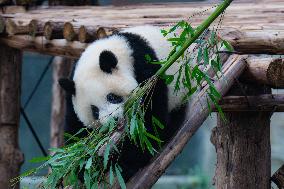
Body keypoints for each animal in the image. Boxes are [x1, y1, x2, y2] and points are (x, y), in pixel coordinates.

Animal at [58, 25, 190, 182]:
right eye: (94, 111)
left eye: (112, 97)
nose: (113, 121)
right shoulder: (71, 92)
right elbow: (77, 129)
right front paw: (83, 165)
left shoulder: (147, 71)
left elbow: (148, 120)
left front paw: (127, 163)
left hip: (179, 92)